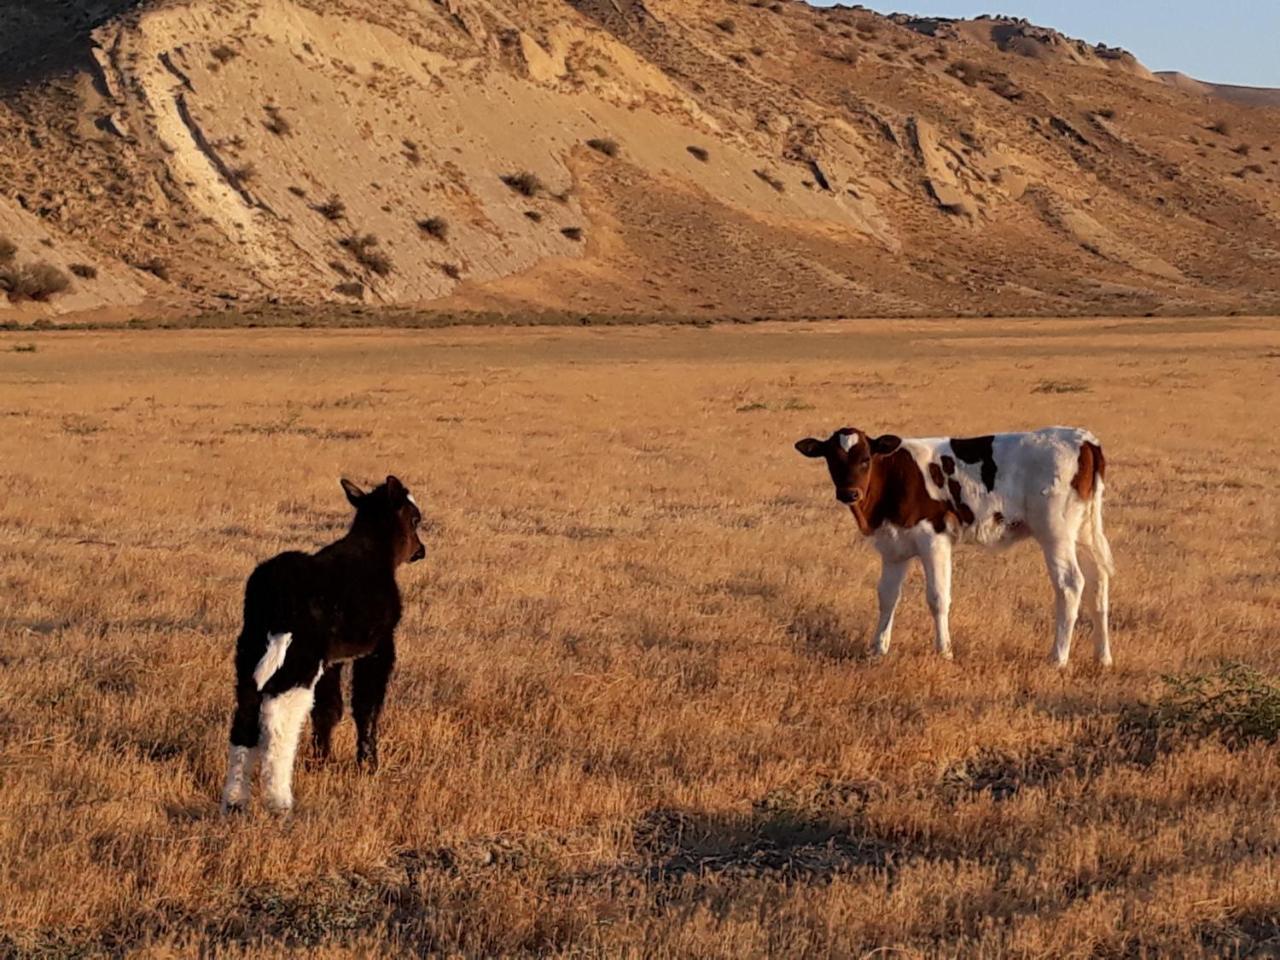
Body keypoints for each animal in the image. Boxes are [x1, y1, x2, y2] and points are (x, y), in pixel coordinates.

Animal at [222, 478, 427, 814]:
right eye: (415, 518)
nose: (421, 550)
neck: (375, 554)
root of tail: (275, 585)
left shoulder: (333, 659)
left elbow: (328, 709)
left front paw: (322, 762)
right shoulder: (380, 646)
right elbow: (367, 706)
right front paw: (368, 764)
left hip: (249, 650)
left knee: (246, 713)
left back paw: (235, 799)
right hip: (298, 657)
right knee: (279, 718)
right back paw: (279, 800)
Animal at [793, 427, 1116, 670]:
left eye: (864, 459)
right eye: (833, 460)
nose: (849, 493)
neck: (895, 476)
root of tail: (1083, 439)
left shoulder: (934, 539)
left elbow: (938, 597)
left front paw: (944, 652)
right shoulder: (894, 548)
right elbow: (887, 597)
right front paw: (878, 649)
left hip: (1055, 533)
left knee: (1070, 584)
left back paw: (1058, 658)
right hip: (1083, 532)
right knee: (1098, 583)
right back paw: (1102, 657)